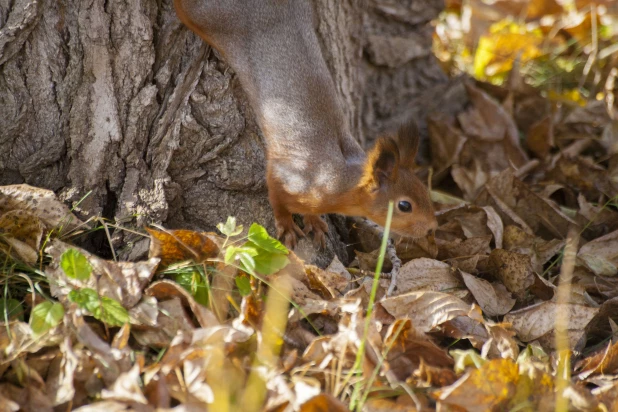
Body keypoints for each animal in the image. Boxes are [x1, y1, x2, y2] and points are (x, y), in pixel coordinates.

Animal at [171, 0, 436, 248]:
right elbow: (277, 199)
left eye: (425, 189)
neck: (338, 180)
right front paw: (287, 225)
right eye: (404, 205)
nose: (432, 228)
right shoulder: (285, 175)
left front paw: (314, 221)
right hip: (210, 16)